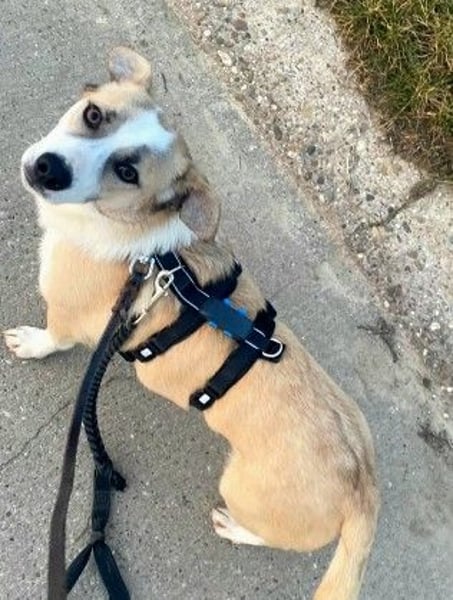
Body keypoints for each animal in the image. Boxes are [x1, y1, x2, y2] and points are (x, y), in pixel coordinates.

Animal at [5, 47, 379, 600]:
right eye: (94, 115)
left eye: (127, 172)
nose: (49, 168)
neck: (136, 241)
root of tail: (362, 490)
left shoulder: (67, 317)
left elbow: (52, 337)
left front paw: (31, 344)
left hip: (243, 491)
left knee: (267, 536)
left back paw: (236, 529)